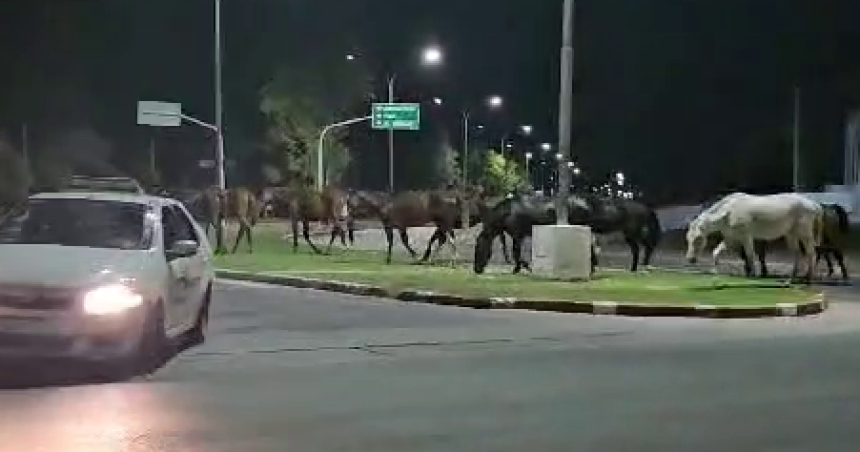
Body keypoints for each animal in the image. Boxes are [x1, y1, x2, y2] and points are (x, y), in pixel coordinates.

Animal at [474, 192, 660, 274]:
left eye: (479, 248)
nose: (477, 270)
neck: (509, 211)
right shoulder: (519, 236)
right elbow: (517, 253)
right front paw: (524, 267)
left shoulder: (518, 236)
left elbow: (516, 253)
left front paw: (521, 268)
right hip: (626, 233)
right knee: (637, 248)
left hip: (631, 232)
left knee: (644, 247)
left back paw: (641, 267)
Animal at [684, 192, 828, 282]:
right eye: (688, 238)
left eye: (698, 238)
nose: (690, 259)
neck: (727, 213)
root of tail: (815, 205)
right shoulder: (731, 238)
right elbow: (716, 252)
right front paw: (715, 271)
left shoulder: (746, 236)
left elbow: (750, 254)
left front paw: (752, 275)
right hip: (791, 234)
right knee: (797, 253)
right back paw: (791, 277)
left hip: (804, 233)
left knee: (811, 252)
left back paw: (808, 277)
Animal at [708, 203, 848, 280]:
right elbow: (757, 255)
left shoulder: (754, 239)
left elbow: (756, 255)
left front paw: (759, 271)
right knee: (824, 252)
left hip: (823, 238)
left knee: (831, 252)